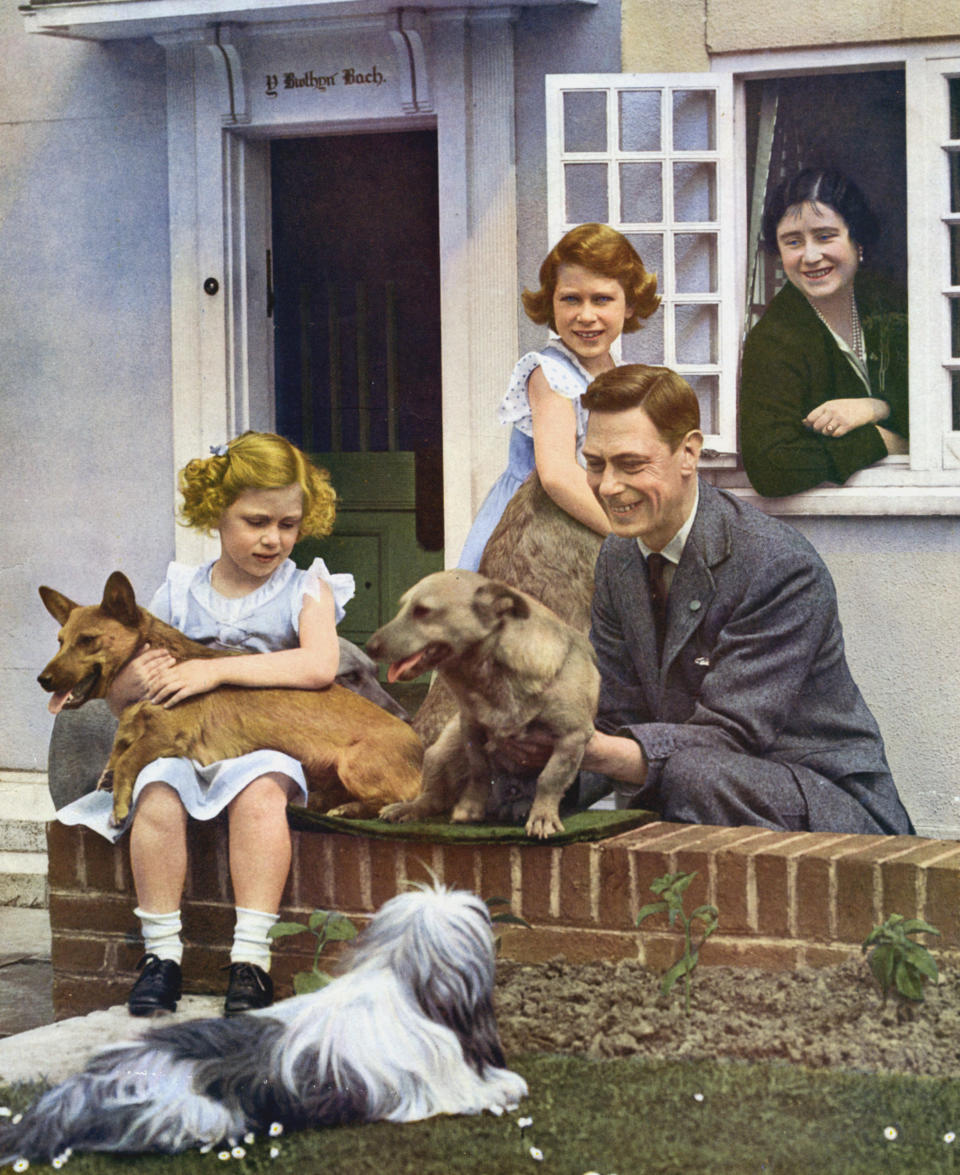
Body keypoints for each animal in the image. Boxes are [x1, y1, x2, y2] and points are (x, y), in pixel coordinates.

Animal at [0, 883, 524, 1160]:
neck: (398, 976)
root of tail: (84, 1085)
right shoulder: (437, 1085)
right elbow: (487, 1089)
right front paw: (510, 1086)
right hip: (203, 1113)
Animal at [38, 573, 418, 822]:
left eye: (88, 640)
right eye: (59, 641)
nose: (42, 680)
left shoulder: (166, 737)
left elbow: (130, 759)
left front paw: (118, 804)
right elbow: (119, 751)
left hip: (353, 765)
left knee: (396, 800)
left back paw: (355, 808)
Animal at [364, 568, 594, 836]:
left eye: (422, 611)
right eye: (402, 608)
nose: (369, 646)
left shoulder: (572, 737)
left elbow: (550, 779)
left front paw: (543, 816)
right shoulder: (470, 728)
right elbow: (479, 770)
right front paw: (471, 807)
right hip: (440, 751)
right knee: (432, 797)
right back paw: (407, 808)